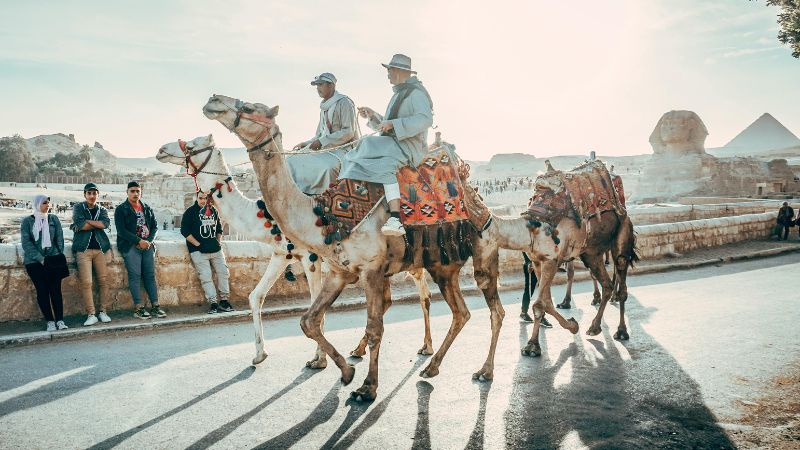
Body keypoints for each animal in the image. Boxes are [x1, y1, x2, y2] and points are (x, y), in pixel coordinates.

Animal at [155, 134, 432, 370]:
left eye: (193, 143)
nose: (161, 149)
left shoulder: (310, 257)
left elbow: (315, 305)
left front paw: (319, 360)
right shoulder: (281, 254)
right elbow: (256, 296)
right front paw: (259, 354)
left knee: (423, 294)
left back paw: (425, 348)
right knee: (393, 299)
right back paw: (362, 350)